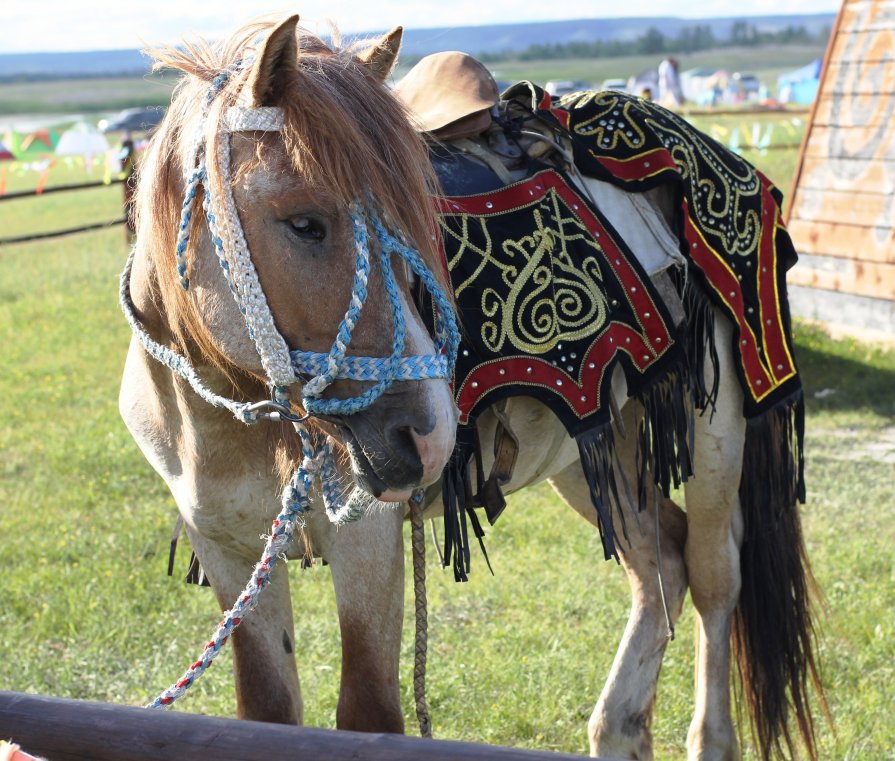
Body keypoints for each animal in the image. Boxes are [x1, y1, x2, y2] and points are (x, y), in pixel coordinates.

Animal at [121, 13, 824, 760]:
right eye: (304, 222)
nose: (430, 435)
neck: (233, 420)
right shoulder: (228, 550)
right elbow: (265, 712)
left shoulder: (366, 544)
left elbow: (367, 714)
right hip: (594, 442)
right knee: (660, 558)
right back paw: (617, 725)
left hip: (717, 425)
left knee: (715, 573)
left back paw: (704, 735)